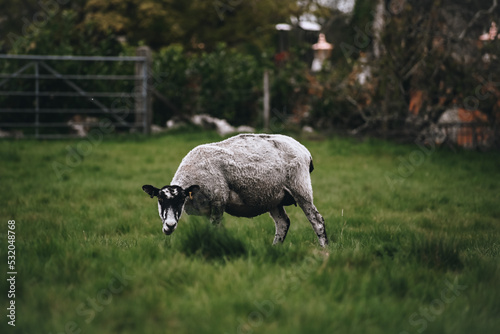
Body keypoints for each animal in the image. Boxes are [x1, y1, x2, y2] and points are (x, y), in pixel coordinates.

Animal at [142, 134, 328, 247]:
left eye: (181, 200)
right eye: (160, 200)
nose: (169, 225)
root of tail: (304, 150)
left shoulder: (218, 202)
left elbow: (215, 230)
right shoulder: (205, 211)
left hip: (300, 186)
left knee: (317, 221)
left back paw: (324, 250)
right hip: (273, 196)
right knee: (283, 223)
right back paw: (275, 248)